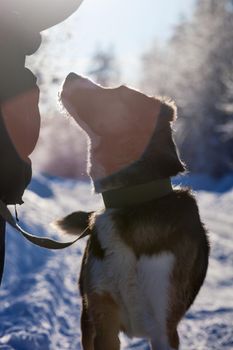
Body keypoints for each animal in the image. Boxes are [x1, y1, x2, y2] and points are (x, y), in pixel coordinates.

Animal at [56, 72, 209, 348]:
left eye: (119, 91)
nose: (71, 75)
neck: (132, 202)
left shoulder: (164, 327)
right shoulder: (102, 316)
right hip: (86, 317)